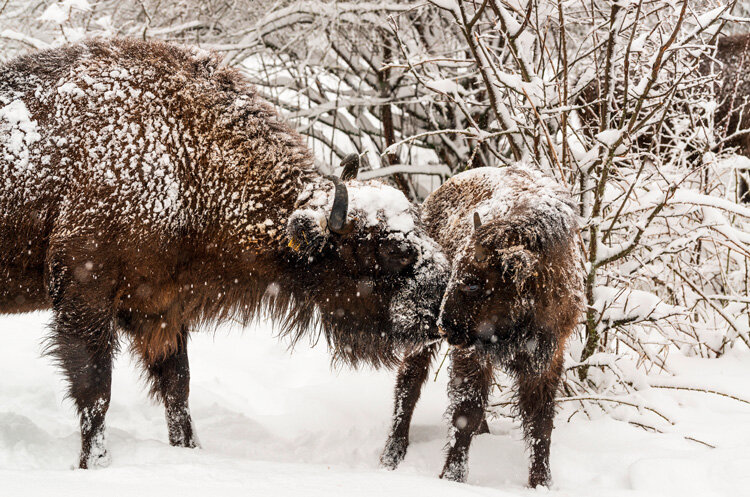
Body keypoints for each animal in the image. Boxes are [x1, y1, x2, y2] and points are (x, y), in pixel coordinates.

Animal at [0, 39, 452, 468]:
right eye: (391, 249)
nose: (443, 308)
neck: (183, 156)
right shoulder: (85, 298)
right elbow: (96, 394)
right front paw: (93, 465)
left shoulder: (160, 307)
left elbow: (177, 388)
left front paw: (188, 450)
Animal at [378, 166, 584, 484]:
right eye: (454, 272)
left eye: (474, 284)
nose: (443, 325)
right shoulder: (472, 354)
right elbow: (466, 412)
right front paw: (452, 476)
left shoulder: (547, 359)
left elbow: (541, 423)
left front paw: (541, 482)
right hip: (423, 344)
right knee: (409, 384)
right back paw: (393, 454)